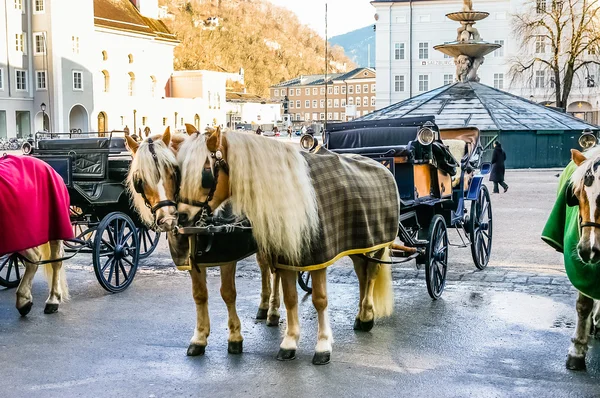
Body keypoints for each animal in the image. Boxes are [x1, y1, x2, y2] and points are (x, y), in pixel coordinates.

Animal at [125, 128, 284, 358]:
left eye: (173, 171)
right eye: (139, 180)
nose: (168, 219)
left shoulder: (227, 257)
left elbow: (228, 294)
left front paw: (234, 336)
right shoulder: (192, 261)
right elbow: (199, 295)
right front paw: (199, 338)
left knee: (277, 270)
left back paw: (273, 310)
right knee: (265, 267)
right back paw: (264, 306)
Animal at [176, 126, 398, 366]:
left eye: (206, 173)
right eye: (180, 170)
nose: (181, 217)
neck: (292, 194)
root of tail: (380, 166)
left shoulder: (317, 259)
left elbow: (320, 300)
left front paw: (323, 345)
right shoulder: (286, 257)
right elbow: (291, 298)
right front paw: (290, 341)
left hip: (375, 245)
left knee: (371, 274)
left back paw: (366, 315)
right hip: (359, 245)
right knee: (361, 273)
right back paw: (362, 315)